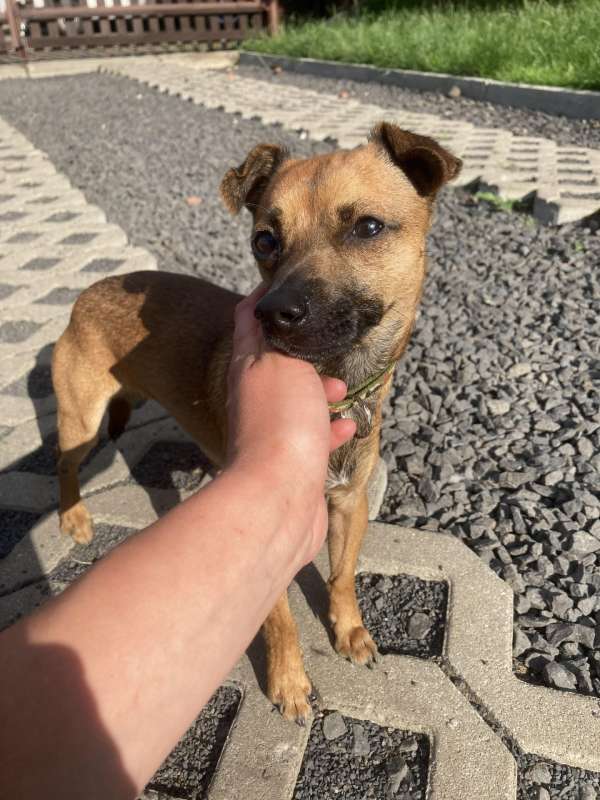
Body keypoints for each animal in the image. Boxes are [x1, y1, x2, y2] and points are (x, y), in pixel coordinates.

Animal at [52, 122, 461, 723]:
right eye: (264, 241)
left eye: (367, 227)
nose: (274, 314)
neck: (337, 384)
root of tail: (86, 292)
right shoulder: (274, 546)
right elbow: (281, 621)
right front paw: (289, 681)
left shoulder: (349, 503)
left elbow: (342, 577)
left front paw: (350, 631)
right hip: (80, 420)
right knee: (65, 465)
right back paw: (75, 517)